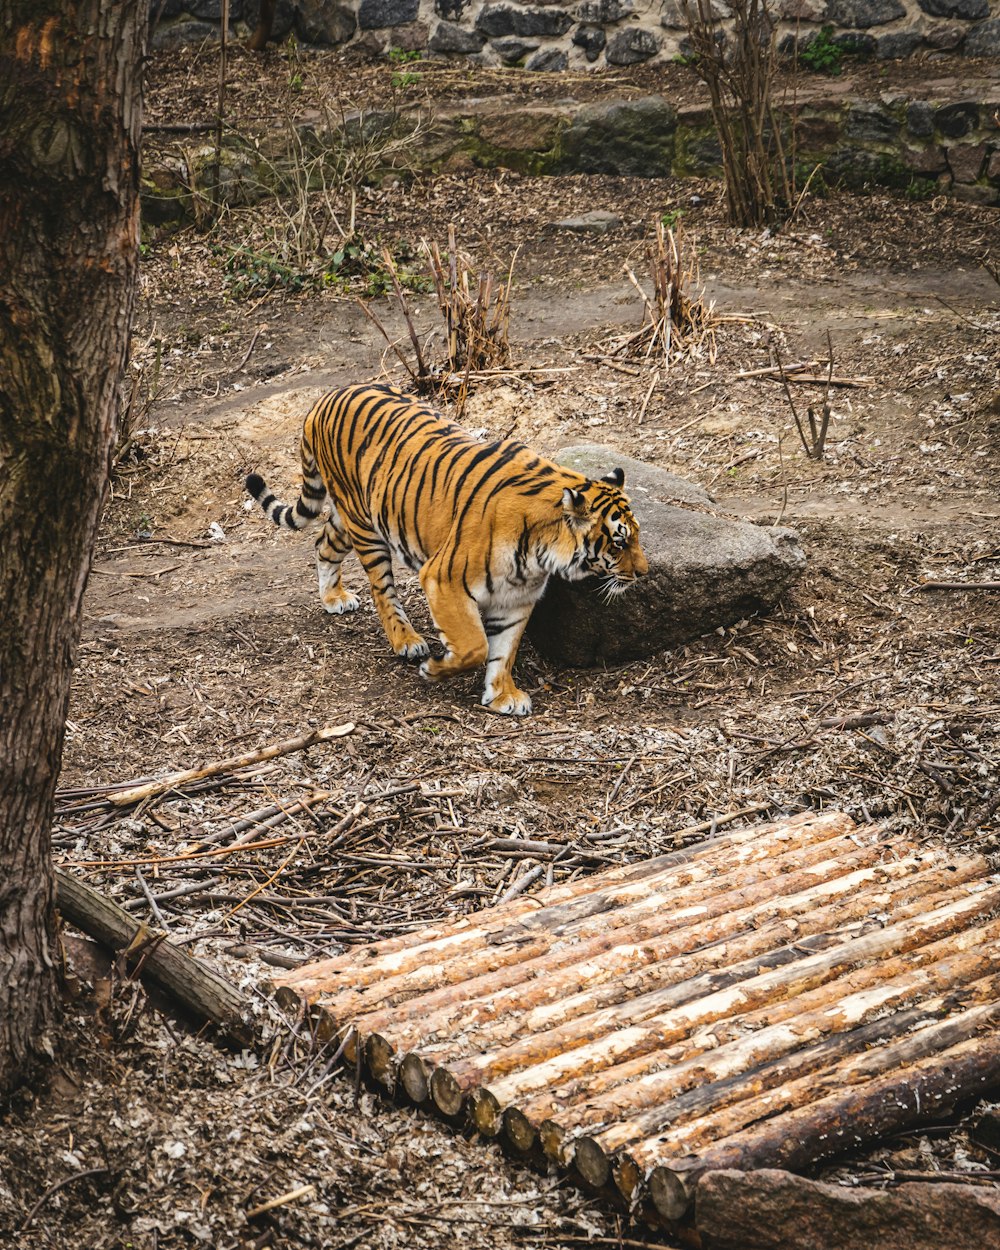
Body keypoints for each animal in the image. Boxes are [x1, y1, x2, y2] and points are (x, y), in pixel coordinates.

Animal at [246, 380, 645, 715]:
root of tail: (326, 398)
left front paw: (502, 695)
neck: (539, 556)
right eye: (619, 541)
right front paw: (436, 669)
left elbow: (504, 652)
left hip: (355, 517)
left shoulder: (517, 599)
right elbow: (475, 646)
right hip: (366, 527)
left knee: (323, 543)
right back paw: (407, 641)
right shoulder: (444, 580)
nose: (643, 573)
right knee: (381, 590)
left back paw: (333, 598)